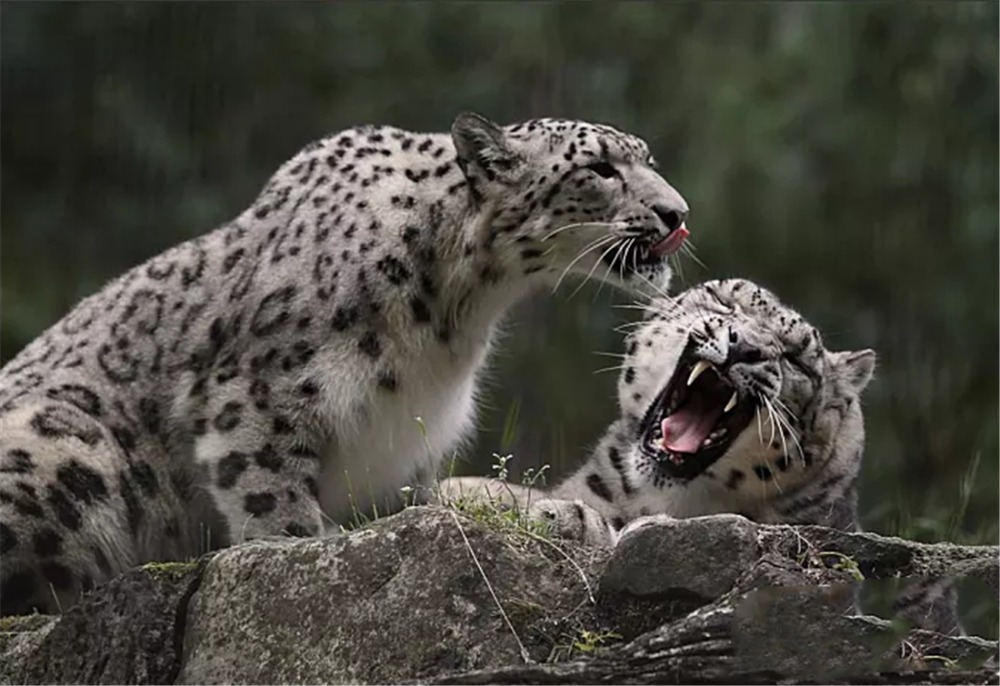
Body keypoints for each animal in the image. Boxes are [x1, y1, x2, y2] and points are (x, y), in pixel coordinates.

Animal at [0, 113, 692, 620]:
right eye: (599, 167)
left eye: (649, 161)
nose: (677, 213)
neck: (454, 320)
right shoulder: (255, 400)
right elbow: (272, 499)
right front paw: (302, 554)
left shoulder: (408, 454)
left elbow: (447, 502)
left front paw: (569, 516)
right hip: (66, 443)